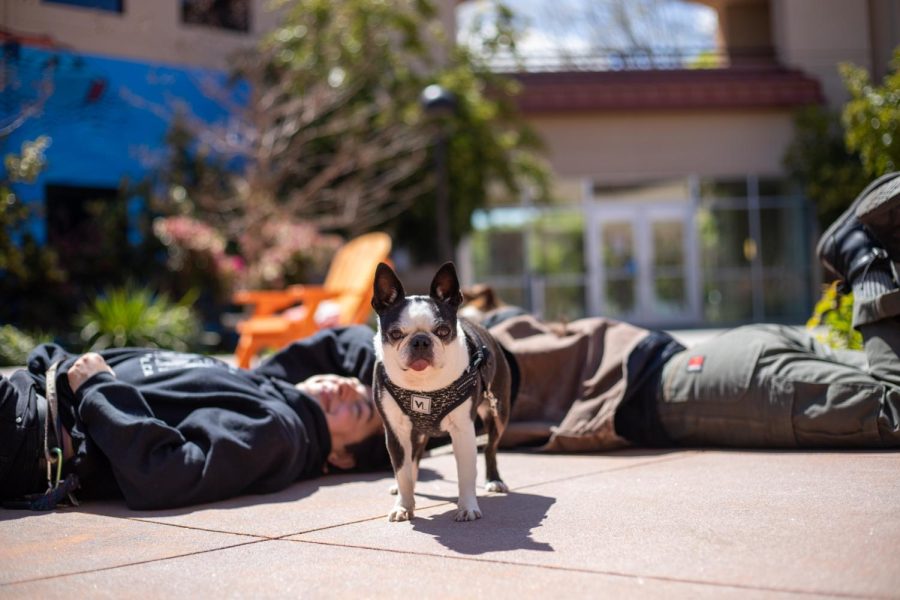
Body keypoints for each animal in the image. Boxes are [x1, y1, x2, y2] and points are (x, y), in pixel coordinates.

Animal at [370, 262, 510, 520]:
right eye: (395, 334)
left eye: (443, 331)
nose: (420, 341)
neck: (423, 384)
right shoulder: (395, 431)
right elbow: (403, 471)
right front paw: (404, 506)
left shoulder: (463, 430)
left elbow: (466, 472)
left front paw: (467, 507)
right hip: (416, 432)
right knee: (413, 459)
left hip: (498, 413)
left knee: (490, 448)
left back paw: (494, 480)